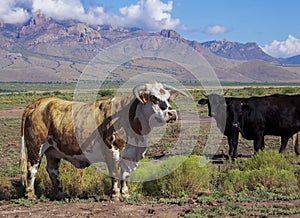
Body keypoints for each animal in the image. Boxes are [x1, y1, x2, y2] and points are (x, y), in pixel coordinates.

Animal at [19, 81, 186, 201]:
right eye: (153, 98)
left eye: (168, 98)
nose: (172, 113)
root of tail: (42, 102)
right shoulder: (113, 150)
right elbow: (115, 172)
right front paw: (115, 195)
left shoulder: (130, 154)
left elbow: (125, 174)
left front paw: (125, 194)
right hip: (36, 146)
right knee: (32, 168)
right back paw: (31, 194)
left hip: (53, 151)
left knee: (53, 170)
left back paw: (61, 194)